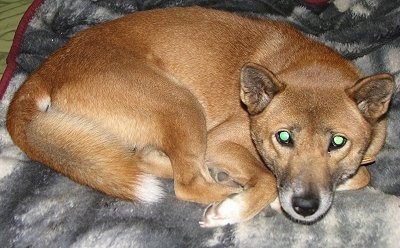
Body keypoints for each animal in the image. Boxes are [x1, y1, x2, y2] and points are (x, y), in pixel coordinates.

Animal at [6, 6, 394, 228]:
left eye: (338, 142)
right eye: (283, 137)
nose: (305, 207)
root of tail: (47, 70)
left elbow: (362, 176)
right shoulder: (221, 139)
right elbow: (270, 179)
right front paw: (238, 206)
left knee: (146, 159)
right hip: (180, 102)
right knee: (187, 182)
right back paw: (229, 196)